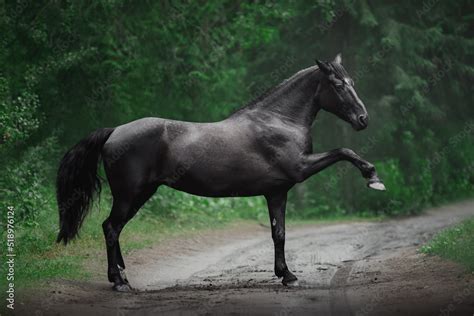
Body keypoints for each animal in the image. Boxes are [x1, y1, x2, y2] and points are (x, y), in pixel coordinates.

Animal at [56, 53, 386, 292]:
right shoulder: (301, 168)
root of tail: (114, 132)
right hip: (129, 194)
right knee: (111, 228)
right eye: (339, 85)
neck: (279, 121)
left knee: (113, 228)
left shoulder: (277, 192)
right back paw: (119, 282)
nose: (363, 119)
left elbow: (278, 233)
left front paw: (286, 275)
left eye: (351, 81)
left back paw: (122, 275)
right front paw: (373, 178)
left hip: (141, 194)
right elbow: (343, 151)